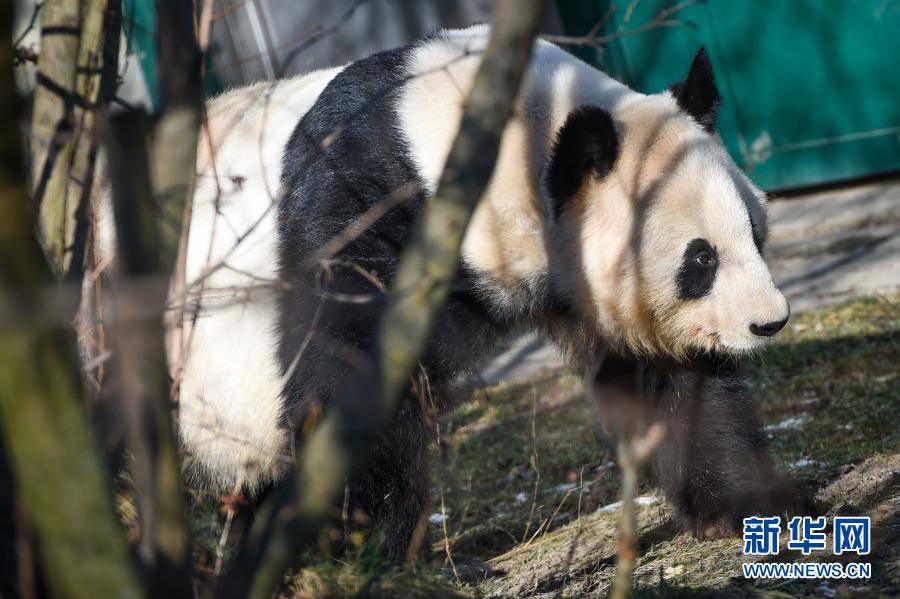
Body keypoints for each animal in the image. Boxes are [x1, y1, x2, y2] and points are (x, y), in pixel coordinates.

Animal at [179, 24, 800, 552]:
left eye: (754, 233)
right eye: (701, 260)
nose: (769, 322)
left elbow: (668, 381)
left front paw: (744, 510)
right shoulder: (363, 210)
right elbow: (348, 378)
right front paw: (370, 552)